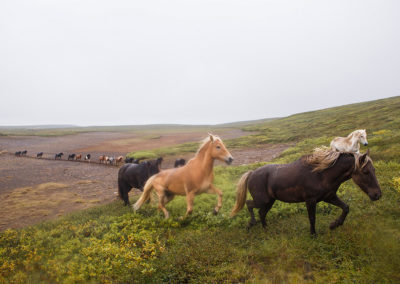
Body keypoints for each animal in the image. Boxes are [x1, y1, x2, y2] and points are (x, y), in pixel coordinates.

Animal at [231, 148, 382, 234]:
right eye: (366, 172)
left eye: (374, 170)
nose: (377, 195)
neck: (321, 174)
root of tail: (252, 173)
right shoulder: (311, 200)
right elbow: (312, 218)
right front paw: (313, 235)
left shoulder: (329, 196)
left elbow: (346, 207)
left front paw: (334, 225)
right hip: (263, 200)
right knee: (249, 204)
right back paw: (251, 224)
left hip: (270, 201)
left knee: (261, 213)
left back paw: (266, 230)